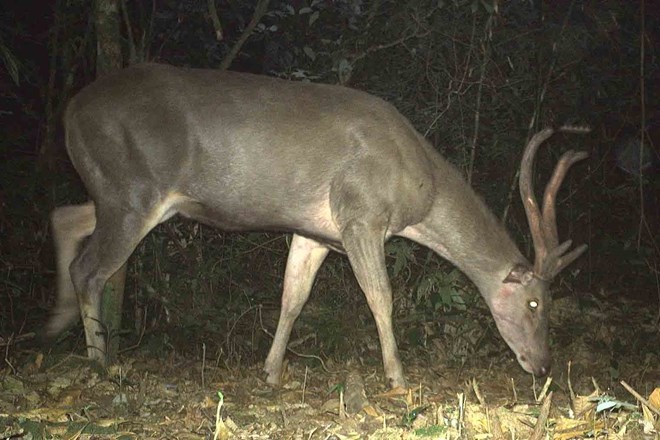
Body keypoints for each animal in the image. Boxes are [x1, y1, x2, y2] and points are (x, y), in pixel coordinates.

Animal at [50, 62, 588, 388]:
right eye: (536, 303)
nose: (543, 365)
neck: (421, 192)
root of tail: (70, 111)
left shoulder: (315, 231)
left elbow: (294, 297)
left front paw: (270, 372)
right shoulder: (361, 213)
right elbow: (380, 297)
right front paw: (397, 376)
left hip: (128, 194)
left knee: (64, 217)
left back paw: (55, 322)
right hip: (133, 188)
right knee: (90, 269)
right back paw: (99, 360)